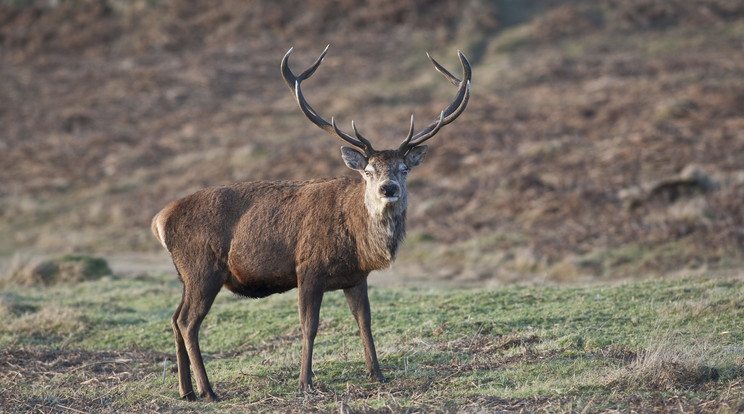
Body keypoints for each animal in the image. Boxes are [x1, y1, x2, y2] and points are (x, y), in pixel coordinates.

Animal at [151, 45, 470, 402]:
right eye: (368, 170)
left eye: (404, 168)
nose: (388, 188)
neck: (358, 240)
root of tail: (159, 220)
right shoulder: (308, 267)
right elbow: (309, 325)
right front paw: (305, 381)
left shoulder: (355, 276)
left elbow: (365, 322)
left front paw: (378, 374)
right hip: (202, 268)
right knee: (188, 322)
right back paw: (208, 390)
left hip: (186, 275)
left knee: (175, 318)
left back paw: (186, 391)